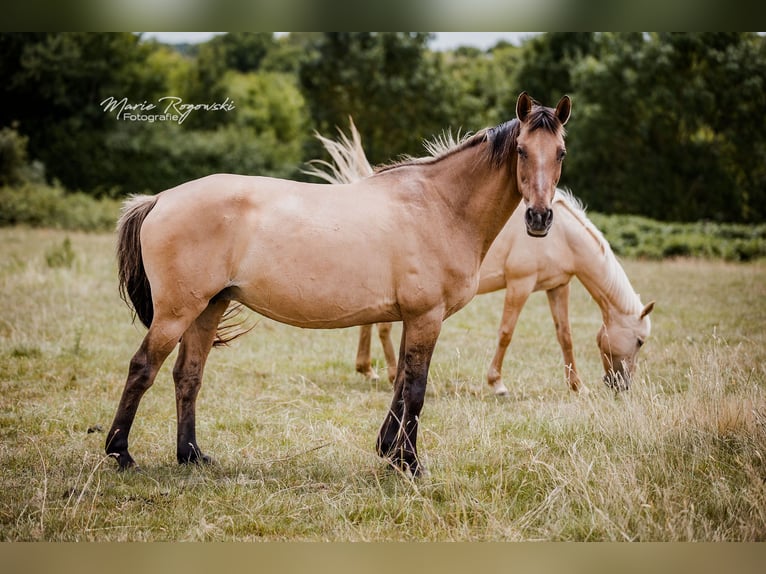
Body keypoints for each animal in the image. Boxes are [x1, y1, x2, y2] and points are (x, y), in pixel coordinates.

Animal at [106, 92, 571, 476]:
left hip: (209, 307)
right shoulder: (426, 317)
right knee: (143, 368)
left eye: (561, 152)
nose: (539, 218)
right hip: (176, 312)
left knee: (188, 375)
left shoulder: (413, 319)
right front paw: (411, 464)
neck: (440, 206)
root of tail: (160, 199)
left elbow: (400, 385)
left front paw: (390, 453)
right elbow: (416, 390)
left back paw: (191, 455)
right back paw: (121, 453)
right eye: (521, 150)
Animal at [308, 123, 654, 395]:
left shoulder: (558, 286)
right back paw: (390, 372)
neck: (562, 236)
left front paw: (576, 385)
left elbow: (564, 335)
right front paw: (497, 383)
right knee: (382, 328)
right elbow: (506, 332)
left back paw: (367, 368)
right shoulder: (520, 283)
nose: (621, 386)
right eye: (639, 341)